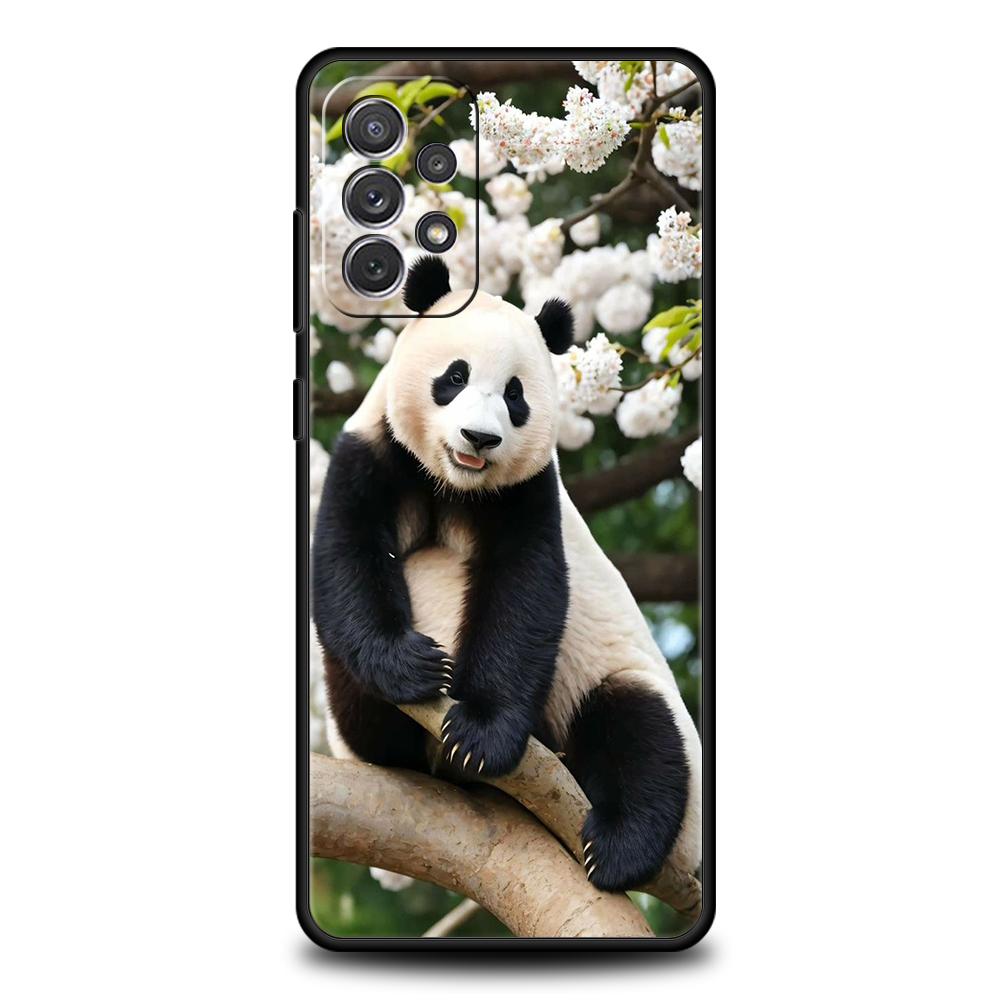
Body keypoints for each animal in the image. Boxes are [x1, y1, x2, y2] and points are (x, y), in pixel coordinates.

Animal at [312, 256, 701, 893]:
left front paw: (480, 736)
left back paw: (618, 845)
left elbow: (525, 591)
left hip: (607, 686)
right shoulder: (373, 450)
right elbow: (348, 558)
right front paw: (410, 665)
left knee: (641, 730)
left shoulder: (528, 491)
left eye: (515, 394)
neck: (453, 484)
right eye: (455, 376)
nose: (480, 438)